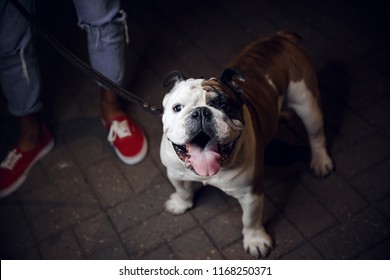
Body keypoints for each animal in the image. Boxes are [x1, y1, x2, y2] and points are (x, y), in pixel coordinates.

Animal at [160, 30, 334, 258]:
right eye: (177, 108)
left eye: (224, 105)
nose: (201, 112)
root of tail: (281, 38)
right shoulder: (174, 173)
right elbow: (183, 189)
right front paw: (181, 204)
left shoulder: (251, 193)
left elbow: (250, 220)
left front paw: (256, 240)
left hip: (307, 101)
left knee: (316, 134)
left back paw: (321, 161)